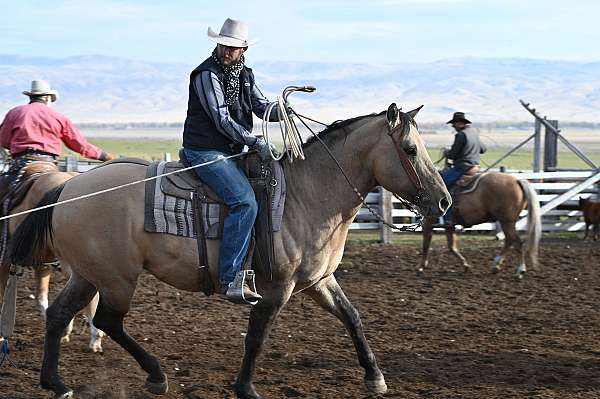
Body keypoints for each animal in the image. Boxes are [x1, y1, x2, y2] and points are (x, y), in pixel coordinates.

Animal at [9, 105, 450, 399]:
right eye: (410, 149)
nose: (443, 202)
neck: (307, 196)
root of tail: (67, 187)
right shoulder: (276, 289)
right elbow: (256, 337)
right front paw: (246, 388)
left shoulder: (319, 281)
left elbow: (352, 317)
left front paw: (375, 377)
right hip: (117, 277)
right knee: (108, 320)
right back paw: (155, 375)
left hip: (89, 274)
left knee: (60, 315)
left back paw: (56, 383)